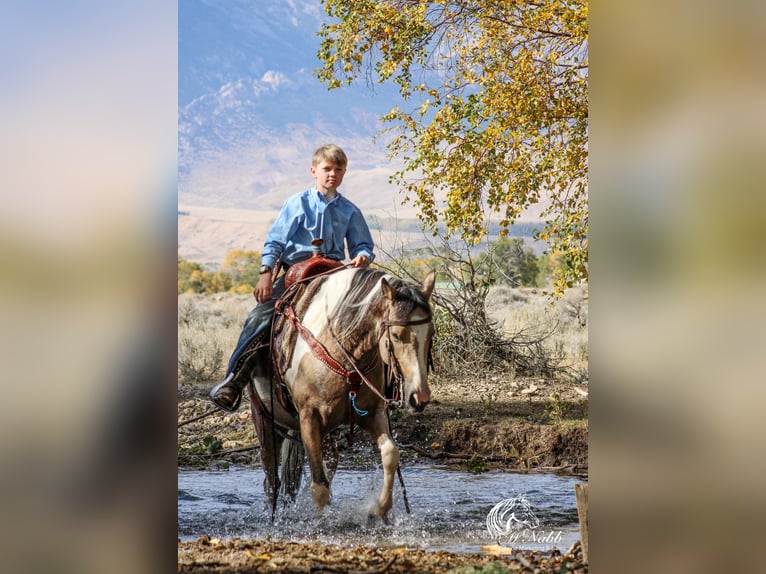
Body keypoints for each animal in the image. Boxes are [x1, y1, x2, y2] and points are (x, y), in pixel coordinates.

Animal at [248, 268, 436, 524]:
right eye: (396, 335)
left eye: (431, 333)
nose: (420, 397)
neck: (344, 351)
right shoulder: (309, 419)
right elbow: (319, 485)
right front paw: (322, 522)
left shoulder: (373, 413)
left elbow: (390, 454)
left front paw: (379, 510)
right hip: (265, 422)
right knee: (271, 477)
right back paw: (273, 513)